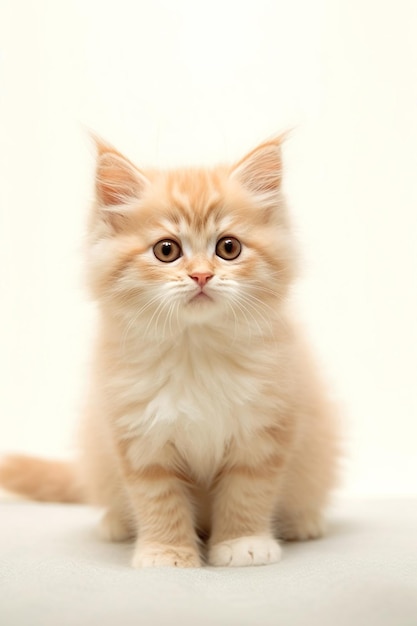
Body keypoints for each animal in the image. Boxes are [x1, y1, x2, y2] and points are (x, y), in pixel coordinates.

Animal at [0, 135, 338, 564]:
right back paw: (115, 523)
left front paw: (242, 543)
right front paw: (167, 553)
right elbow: (157, 500)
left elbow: (248, 493)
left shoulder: (265, 428)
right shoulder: (138, 434)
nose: (201, 275)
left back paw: (303, 522)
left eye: (229, 248)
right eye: (166, 250)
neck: (195, 350)